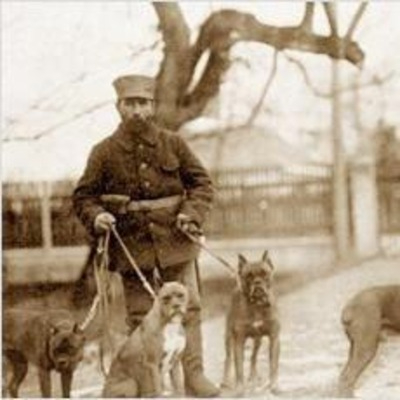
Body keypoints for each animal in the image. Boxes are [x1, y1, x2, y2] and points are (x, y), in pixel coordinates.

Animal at [220, 252, 280, 396]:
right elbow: (239, 368)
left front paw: (274, 385)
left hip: (258, 340)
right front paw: (240, 388)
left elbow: (273, 365)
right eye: (249, 276)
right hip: (229, 338)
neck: (257, 305)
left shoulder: (274, 338)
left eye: (264, 273)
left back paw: (253, 376)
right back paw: (225, 381)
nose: (257, 282)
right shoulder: (238, 340)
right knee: (228, 358)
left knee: (253, 356)